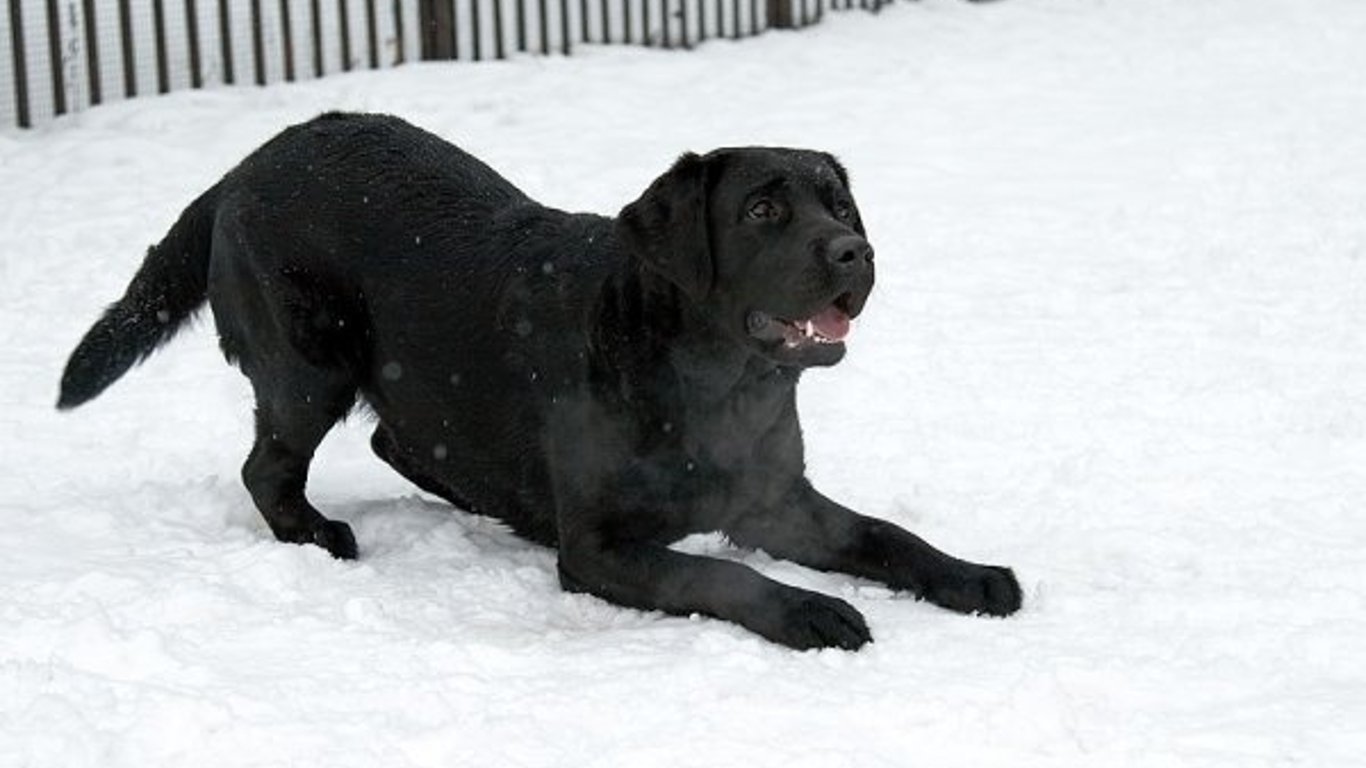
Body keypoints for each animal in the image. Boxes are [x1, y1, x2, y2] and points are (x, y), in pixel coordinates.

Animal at [58, 110, 1021, 642]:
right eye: (761, 209)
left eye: (839, 204)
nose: (856, 251)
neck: (719, 380)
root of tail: (243, 165)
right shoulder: (598, 548)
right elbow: (715, 576)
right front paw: (812, 612)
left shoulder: (777, 501)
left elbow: (886, 537)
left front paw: (971, 577)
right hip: (309, 364)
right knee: (269, 466)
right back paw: (318, 536)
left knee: (397, 440)